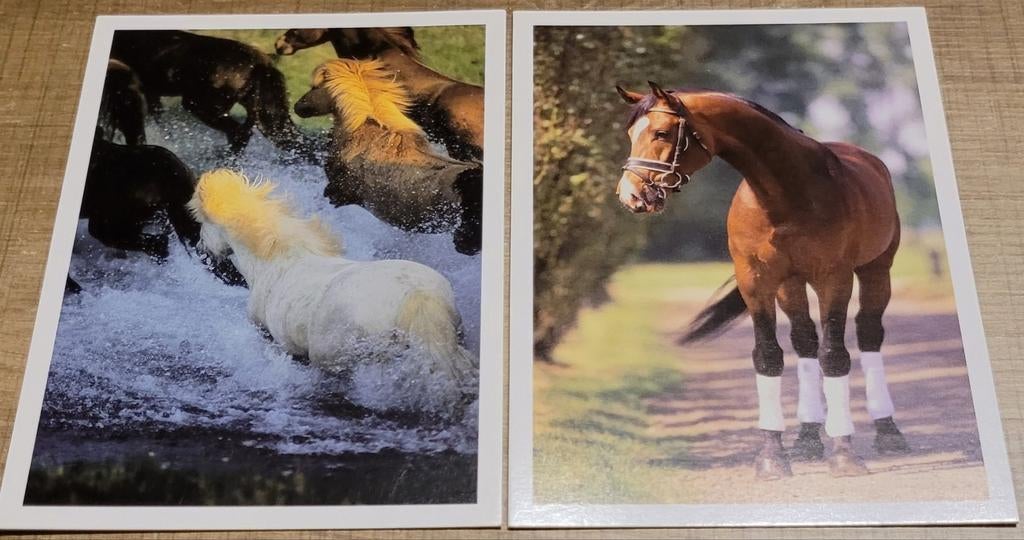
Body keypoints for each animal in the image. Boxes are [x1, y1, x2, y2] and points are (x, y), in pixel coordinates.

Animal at [109, 30, 315, 160]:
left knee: (239, 133)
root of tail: (263, 65)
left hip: (200, 104)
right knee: (305, 147)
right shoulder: (151, 94)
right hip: (271, 119)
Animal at [188, 169, 477, 412]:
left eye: (201, 225)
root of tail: (417, 295)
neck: (274, 260)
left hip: (340, 357)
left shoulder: (273, 338)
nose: (200, 248)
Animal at [615, 82, 911, 480]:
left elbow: (834, 356)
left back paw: (887, 431)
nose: (630, 195)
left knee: (867, 335)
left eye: (661, 133)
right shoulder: (756, 281)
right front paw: (773, 456)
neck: (786, 195)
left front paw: (844, 455)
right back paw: (807, 440)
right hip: (790, 286)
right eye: (631, 133)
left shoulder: (834, 279)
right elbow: (769, 356)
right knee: (804, 341)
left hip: (876, 271)